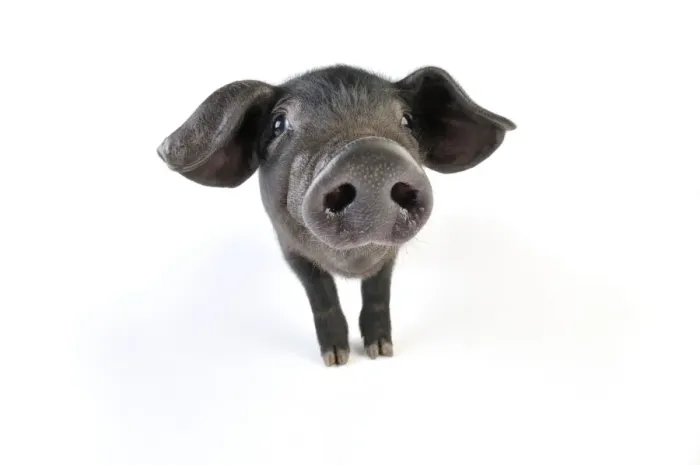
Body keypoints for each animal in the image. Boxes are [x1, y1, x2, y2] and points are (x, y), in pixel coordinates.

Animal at [156, 65, 516, 366]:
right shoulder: (290, 248)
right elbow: (321, 294)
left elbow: (378, 291)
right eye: (278, 125)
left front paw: (380, 352)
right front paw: (337, 359)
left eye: (409, 121)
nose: (371, 157)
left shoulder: (388, 255)